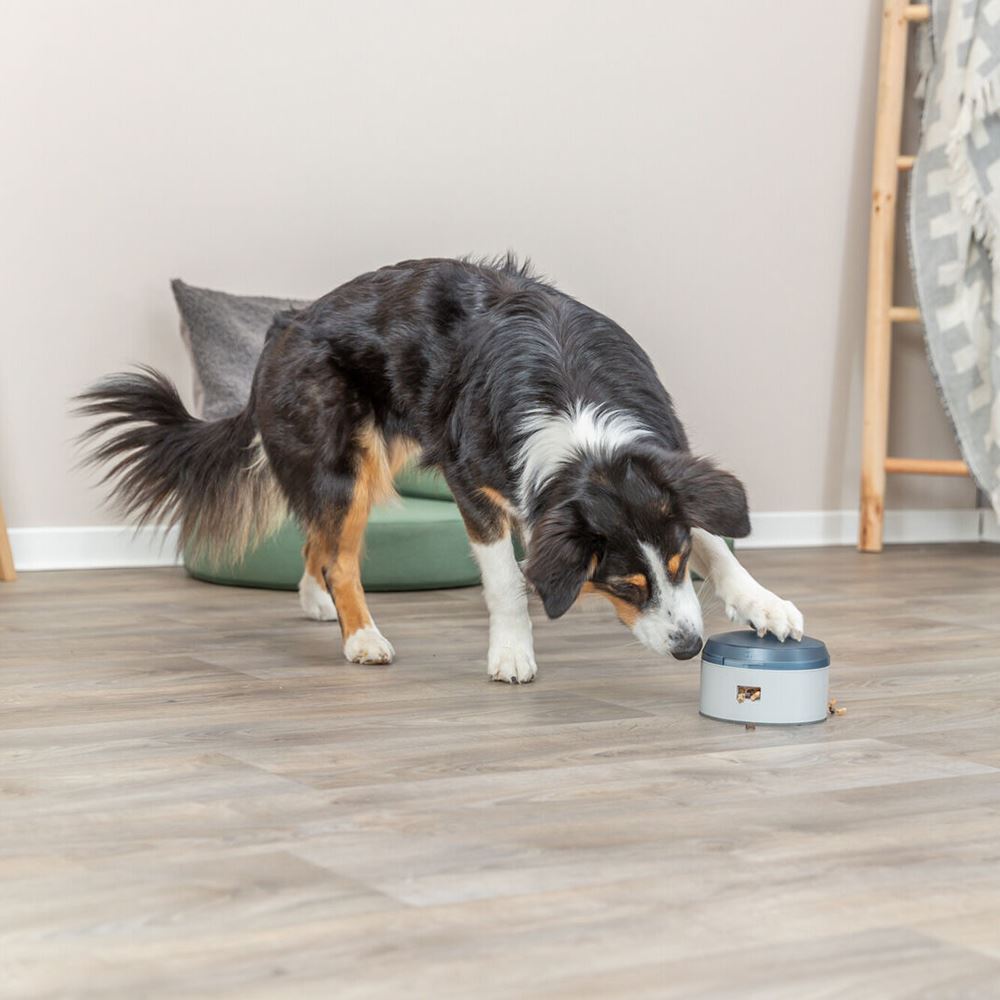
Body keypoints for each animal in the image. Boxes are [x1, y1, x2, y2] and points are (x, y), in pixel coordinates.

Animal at [82, 254, 808, 684]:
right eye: (622, 586)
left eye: (678, 568)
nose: (689, 648)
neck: (577, 414)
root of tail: (283, 324)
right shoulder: (473, 485)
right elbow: (506, 581)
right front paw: (512, 652)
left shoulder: (662, 470)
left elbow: (717, 542)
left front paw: (766, 606)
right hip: (346, 462)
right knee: (338, 554)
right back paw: (361, 636)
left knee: (318, 541)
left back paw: (317, 603)